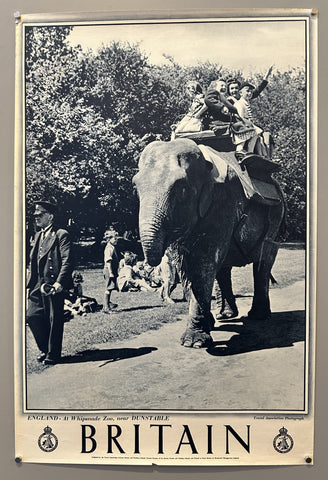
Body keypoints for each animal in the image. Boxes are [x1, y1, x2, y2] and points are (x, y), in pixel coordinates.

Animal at [132, 139, 286, 348]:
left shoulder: (223, 200)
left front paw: (194, 343)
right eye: (135, 188)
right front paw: (205, 328)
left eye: (182, 189)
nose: (148, 265)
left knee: (265, 257)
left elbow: (203, 261)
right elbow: (184, 264)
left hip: (276, 215)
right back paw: (225, 315)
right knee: (224, 266)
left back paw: (257, 316)